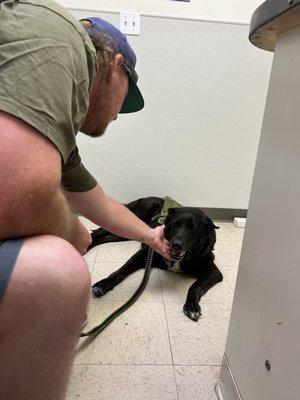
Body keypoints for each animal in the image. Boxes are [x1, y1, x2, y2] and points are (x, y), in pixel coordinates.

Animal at [89, 197, 223, 322]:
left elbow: (195, 286)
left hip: (125, 232)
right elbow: (122, 269)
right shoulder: (144, 254)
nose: (176, 245)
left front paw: (192, 306)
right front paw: (103, 284)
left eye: (193, 228)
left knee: (102, 238)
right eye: (174, 224)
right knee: (95, 233)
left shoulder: (214, 272)